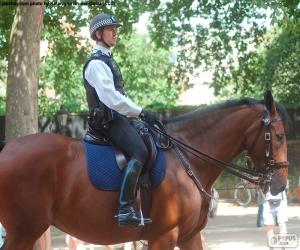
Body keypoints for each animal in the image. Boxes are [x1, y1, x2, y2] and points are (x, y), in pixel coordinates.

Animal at [0, 92, 288, 250]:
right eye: (278, 136)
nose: (281, 184)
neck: (186, 159)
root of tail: (8, 146)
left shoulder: (189, 237)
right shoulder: (163, 236)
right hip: (25, 231)